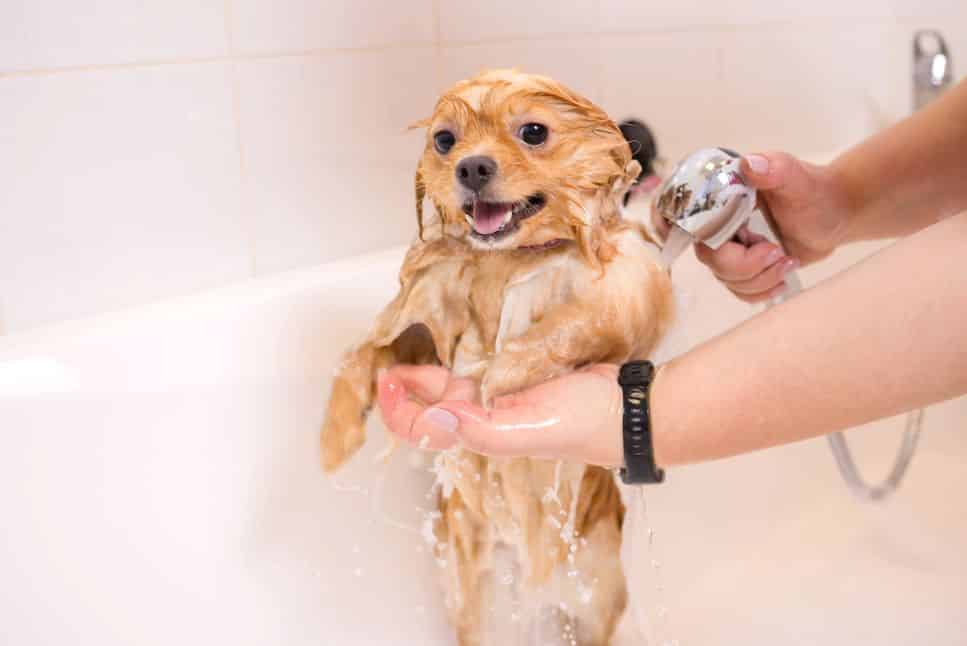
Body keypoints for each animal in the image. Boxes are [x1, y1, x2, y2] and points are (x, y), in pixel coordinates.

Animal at [324, 71, 672, 646]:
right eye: (445, 140)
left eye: (533, 131)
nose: (471, 166)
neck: (505, 262)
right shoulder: (428, 316)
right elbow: (373, 351)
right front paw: (336, 434)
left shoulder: (628, 289)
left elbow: (575, 325)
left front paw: (505, 370)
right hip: (471, 590)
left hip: (597, 592)